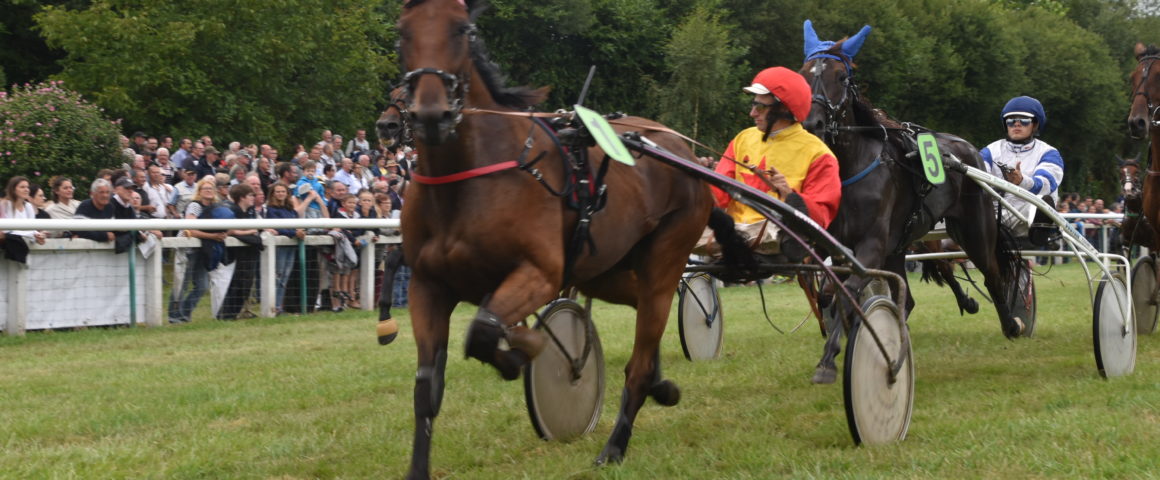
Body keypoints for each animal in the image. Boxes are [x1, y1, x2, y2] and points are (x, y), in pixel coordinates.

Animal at [395, 0, 734, 476]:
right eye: (402, 33)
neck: (466, 182)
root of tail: (683, 154)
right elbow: (427, 388)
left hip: (666, 254)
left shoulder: (541, 272)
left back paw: (614, 446)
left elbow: (483, 329)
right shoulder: (427, 286)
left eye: (463, 30)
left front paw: (521, 352)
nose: (431, 115)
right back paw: (661, 385)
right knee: (642, 318)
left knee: (642, 351)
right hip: (607, 269)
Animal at [799, 21, 1023, 383]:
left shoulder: (871, 247)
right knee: (908, 297)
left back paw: (1011, 324)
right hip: (900, 246)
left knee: (992, 272)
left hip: (973, 230)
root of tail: (969, 148)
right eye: (804, 74)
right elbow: (831, 293)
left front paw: (828, 362)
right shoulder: (839, 248)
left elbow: (848, 296)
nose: (813, 123)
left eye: (841, 77)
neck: (851, 168)